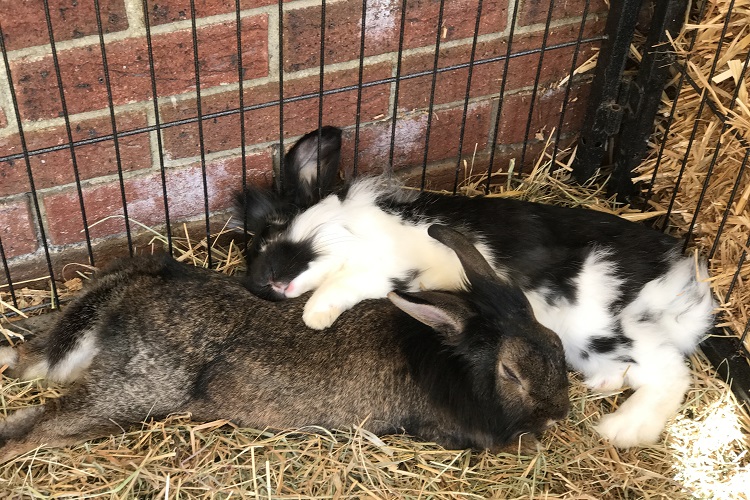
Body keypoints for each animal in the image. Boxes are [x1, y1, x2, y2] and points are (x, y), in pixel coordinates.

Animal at [0, 225, 569, 464]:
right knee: (38, 430)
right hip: (130, 395)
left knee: (28, 388)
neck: (450, 360)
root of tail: (139, 287)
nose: (560, 412)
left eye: (556, 342)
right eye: (512, 373)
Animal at [235, 126, 716, 449]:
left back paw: (623, 429)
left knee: (672, 370)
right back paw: (605, 386)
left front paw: (316, 316)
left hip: (604, 323)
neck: (348, 228)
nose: (261, 284)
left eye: (272, 229)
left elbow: (349, 283)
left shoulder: (386, 263)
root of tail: (677, 282)